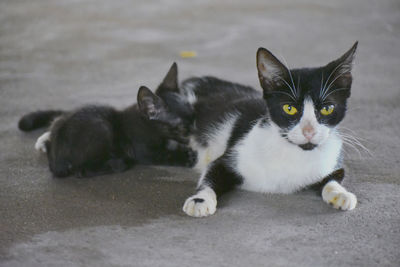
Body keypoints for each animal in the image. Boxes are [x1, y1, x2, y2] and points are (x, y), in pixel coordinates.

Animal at [18, 63, 196, 179]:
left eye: (194, 118)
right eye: (182, 127)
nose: (197, 133)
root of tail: (56, 159)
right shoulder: (145, 152)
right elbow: (166, 155)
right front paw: (186, 157)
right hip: (102, 128)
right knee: (82, 171)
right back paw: (118, 162)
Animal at [180, 42, 358, 218]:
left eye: (327, 108)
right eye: (289, 108)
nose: (309, 132)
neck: (295, 154)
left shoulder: (332, 159)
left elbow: (333, 178)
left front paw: (341, 194)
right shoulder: (232, 155)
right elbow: (211, 174)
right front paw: (200, 200)